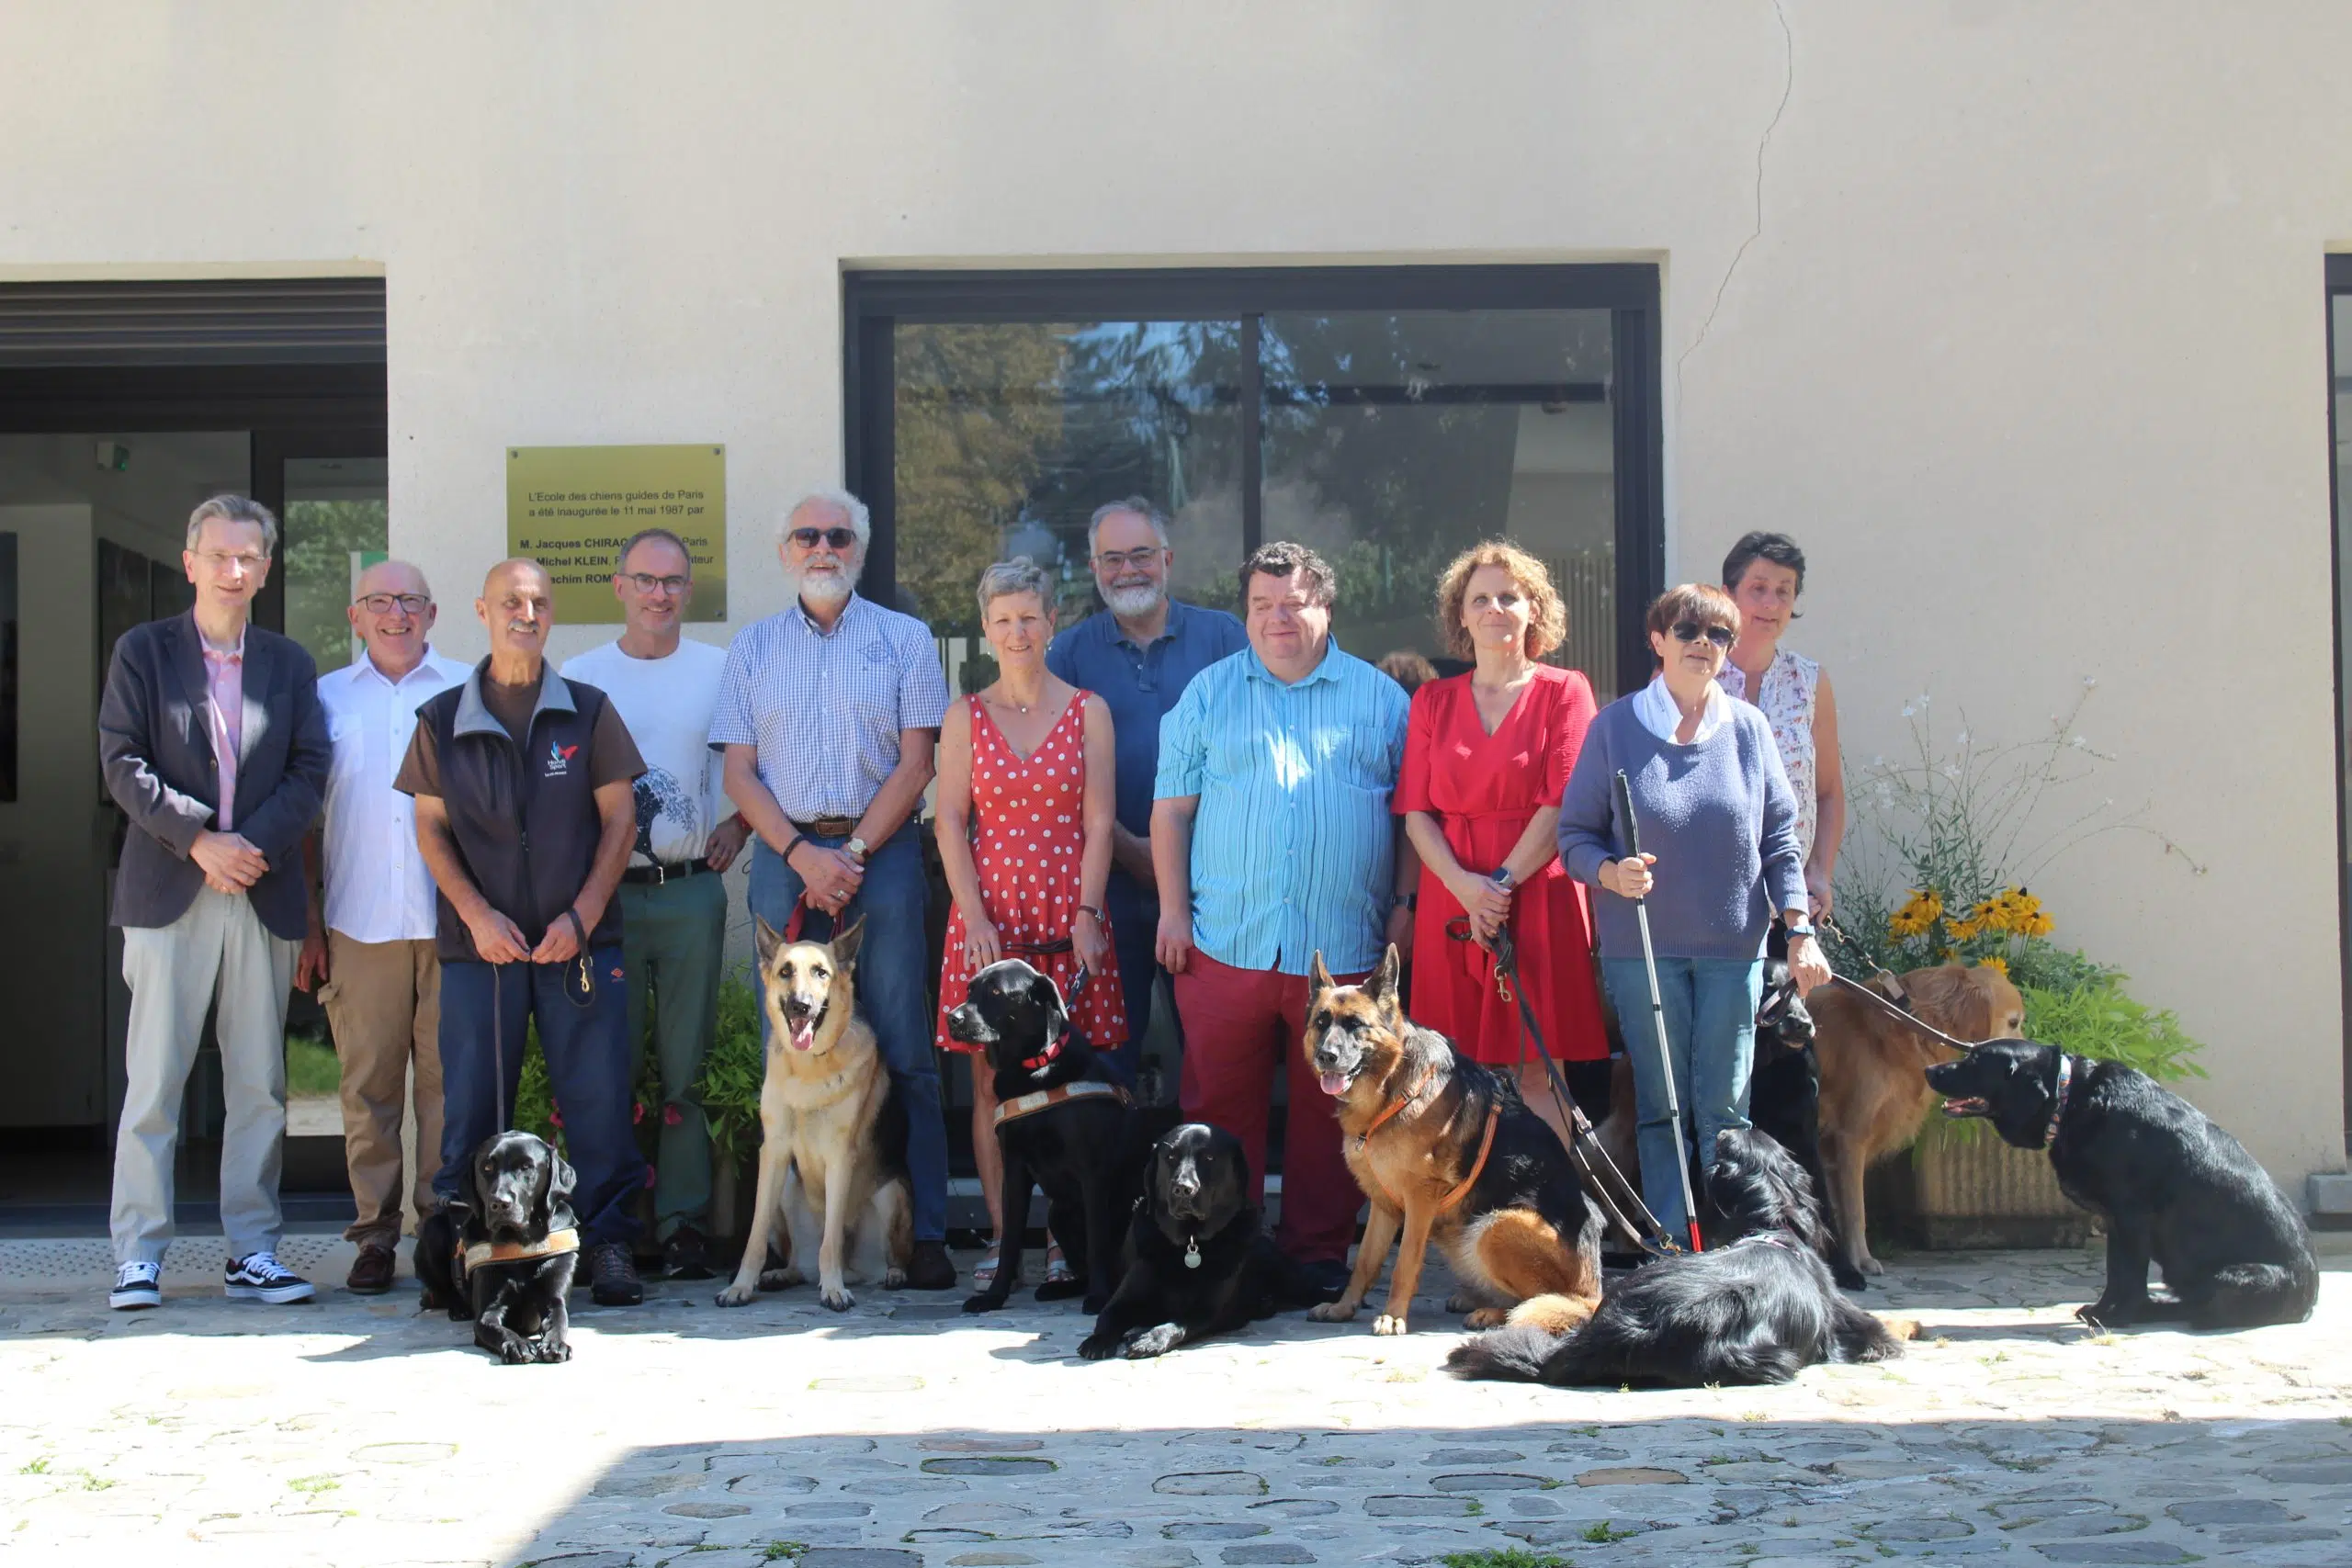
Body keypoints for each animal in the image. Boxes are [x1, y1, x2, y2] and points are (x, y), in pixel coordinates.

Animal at [1815, 964, 2022, 1279]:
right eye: (2013, 1022)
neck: (1908, 1020)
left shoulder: (1830, 1147)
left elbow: (1839, 1210)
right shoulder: (1850, 1135)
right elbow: (1855, 1211)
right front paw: (1860, 1261)